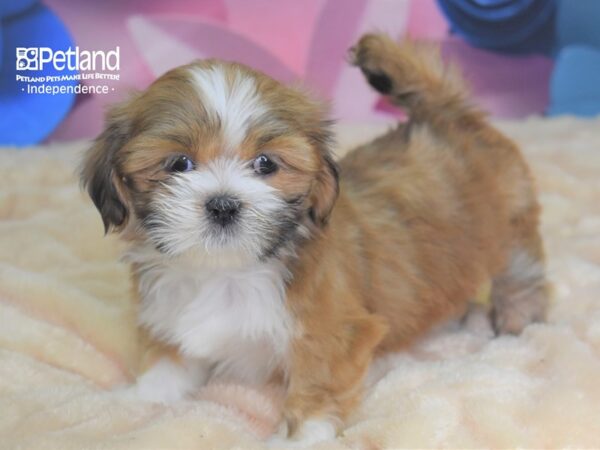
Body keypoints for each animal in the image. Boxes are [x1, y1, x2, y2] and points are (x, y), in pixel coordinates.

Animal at [81, 33, 548, 444]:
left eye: (265, 164)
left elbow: (318, 380)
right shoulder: (169, 312)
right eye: (179, 163)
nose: (224, 204)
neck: (226, 271)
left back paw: (516, 319)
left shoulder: (331, 331)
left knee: (518, 274)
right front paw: (136, 401)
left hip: (512, 225)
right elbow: (168, 362)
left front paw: (300, 436)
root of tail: (446, 117)